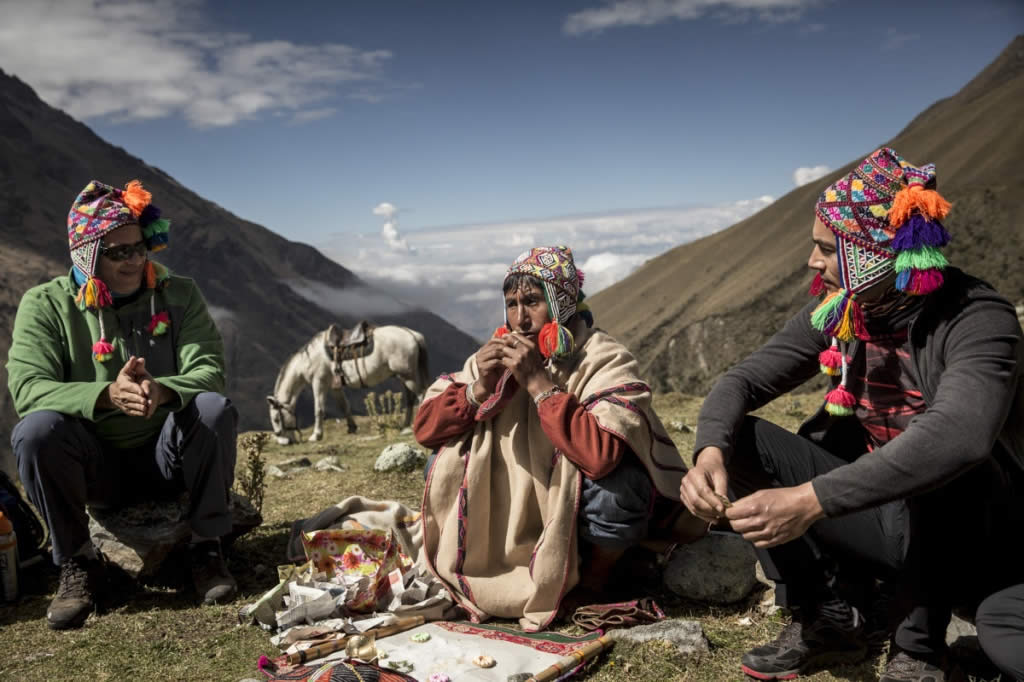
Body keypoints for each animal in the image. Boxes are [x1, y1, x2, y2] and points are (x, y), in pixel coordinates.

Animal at [268, 323, 428, 444]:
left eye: (276, 418)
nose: (284, 442)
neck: (308, 359)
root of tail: (412, 334)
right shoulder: (334, 387)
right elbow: (344, 406)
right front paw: (352, 428)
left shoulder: (319, 382)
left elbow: (318, 409)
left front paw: (316, 436)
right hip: (404, 377)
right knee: (410, 399)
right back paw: (405, 427)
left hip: (408, 376)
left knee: (422, 395)